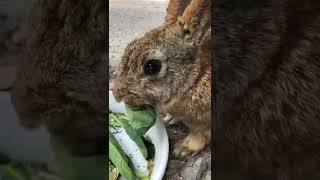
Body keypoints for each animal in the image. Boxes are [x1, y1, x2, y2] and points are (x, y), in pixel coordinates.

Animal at [112, 0, 212, 157]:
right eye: (129, 47)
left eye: (152, 66)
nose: (117, 95)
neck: (193, 80)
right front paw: (169, 118)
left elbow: (201, 134)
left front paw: (183, 148)